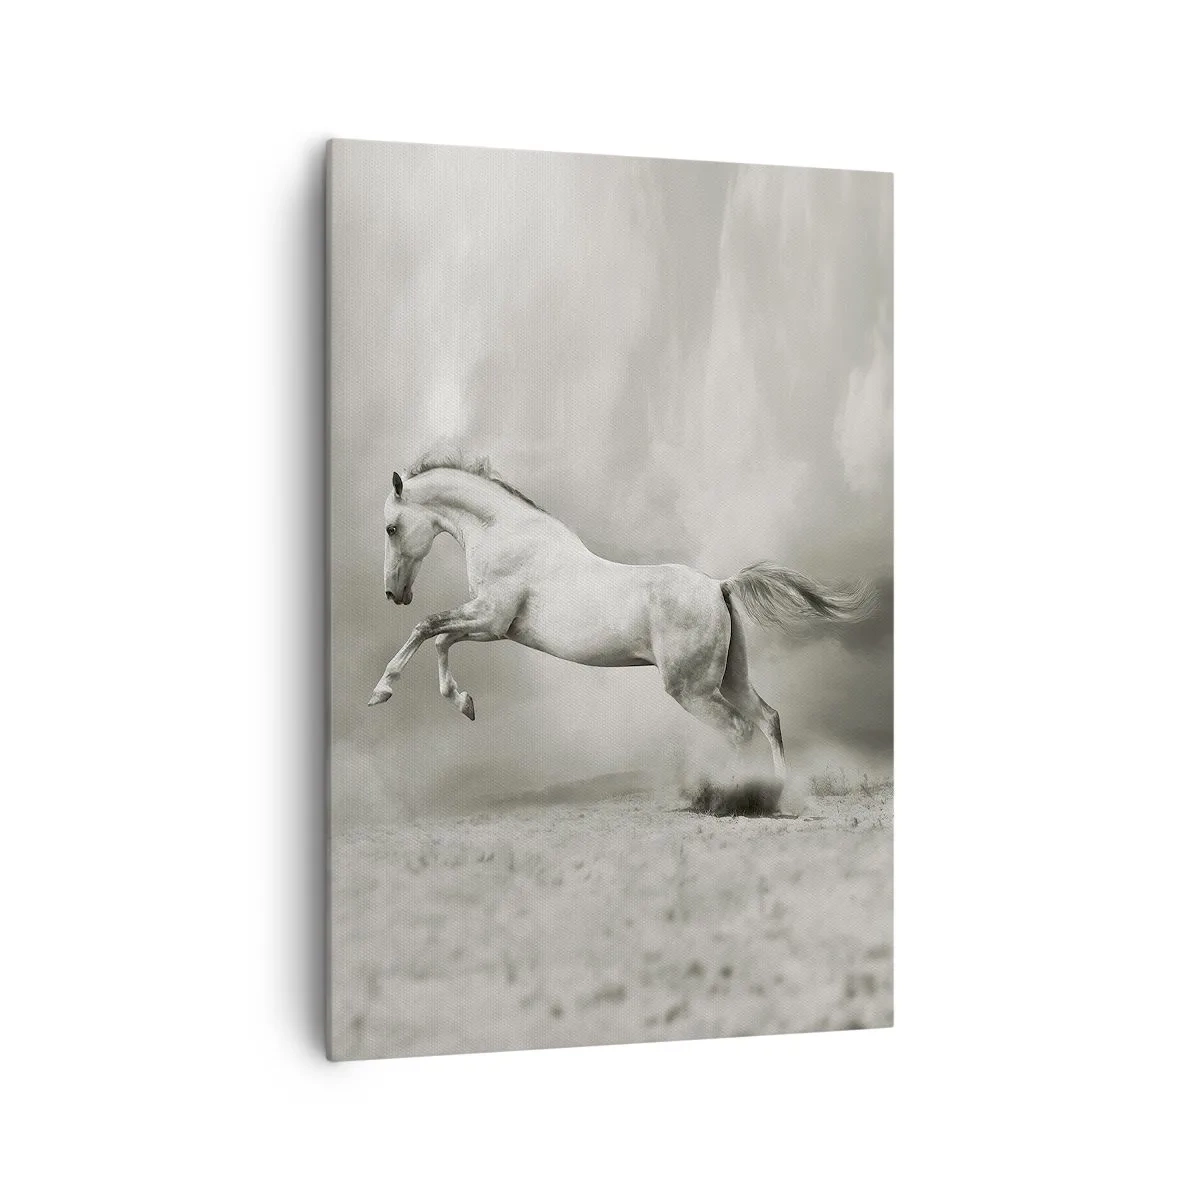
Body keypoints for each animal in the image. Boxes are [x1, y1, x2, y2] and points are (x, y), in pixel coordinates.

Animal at [368, 454, 874, 784]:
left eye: (391, 528)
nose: (394, 594)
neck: (504, 532)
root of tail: (719, 586)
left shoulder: (491, 621)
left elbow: (427, 628)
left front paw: (382, 691)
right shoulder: (489, 625)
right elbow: (438, 638)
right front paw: (465, 703)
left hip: (691, 689)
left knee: (740, 730)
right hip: (731, 679)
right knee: (768, 720)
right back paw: (778, 795)